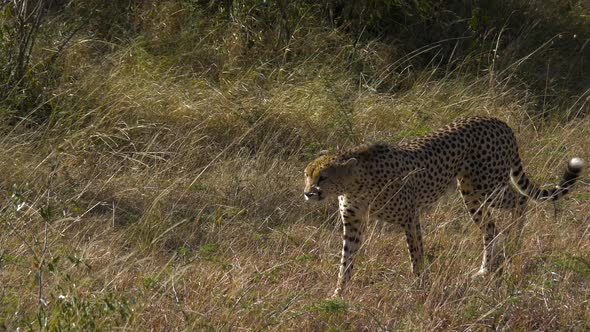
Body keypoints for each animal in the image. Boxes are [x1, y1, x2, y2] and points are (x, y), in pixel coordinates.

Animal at [306, 115, 588, 296]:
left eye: (323, 177)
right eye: (307, 175)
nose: (308, 193)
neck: (355, 182)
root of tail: (496, 120)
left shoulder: (410, 218)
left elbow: (416, 255)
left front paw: (419, 288)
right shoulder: (353, 223)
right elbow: (346, 260)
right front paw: (339, 293)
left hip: (487, 186)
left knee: (520, 200)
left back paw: (514, 244)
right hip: (471, 193)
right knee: (490, 228)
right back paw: (485, 269)